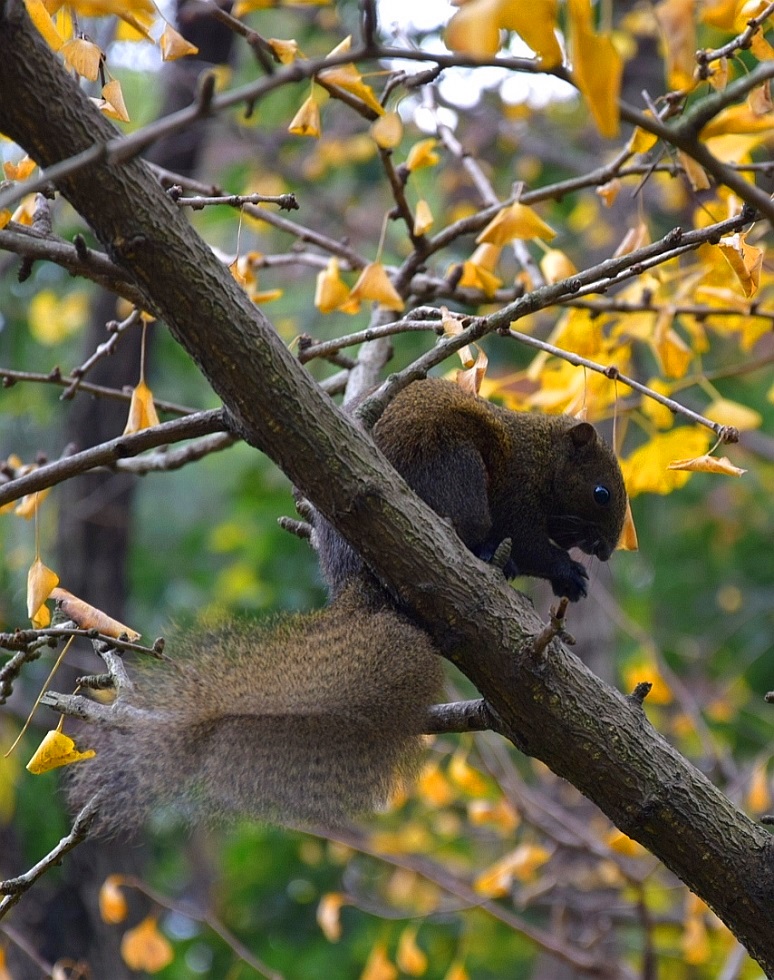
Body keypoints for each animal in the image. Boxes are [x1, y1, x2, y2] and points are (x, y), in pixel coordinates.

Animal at [63, 378, 628, 832]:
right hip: (454, 466)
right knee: (469, 527)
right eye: (602, 492)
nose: (605, 551)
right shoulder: (520, 503)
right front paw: (569, 573)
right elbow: (532, 546)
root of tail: (353, 572)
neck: (541, 456)